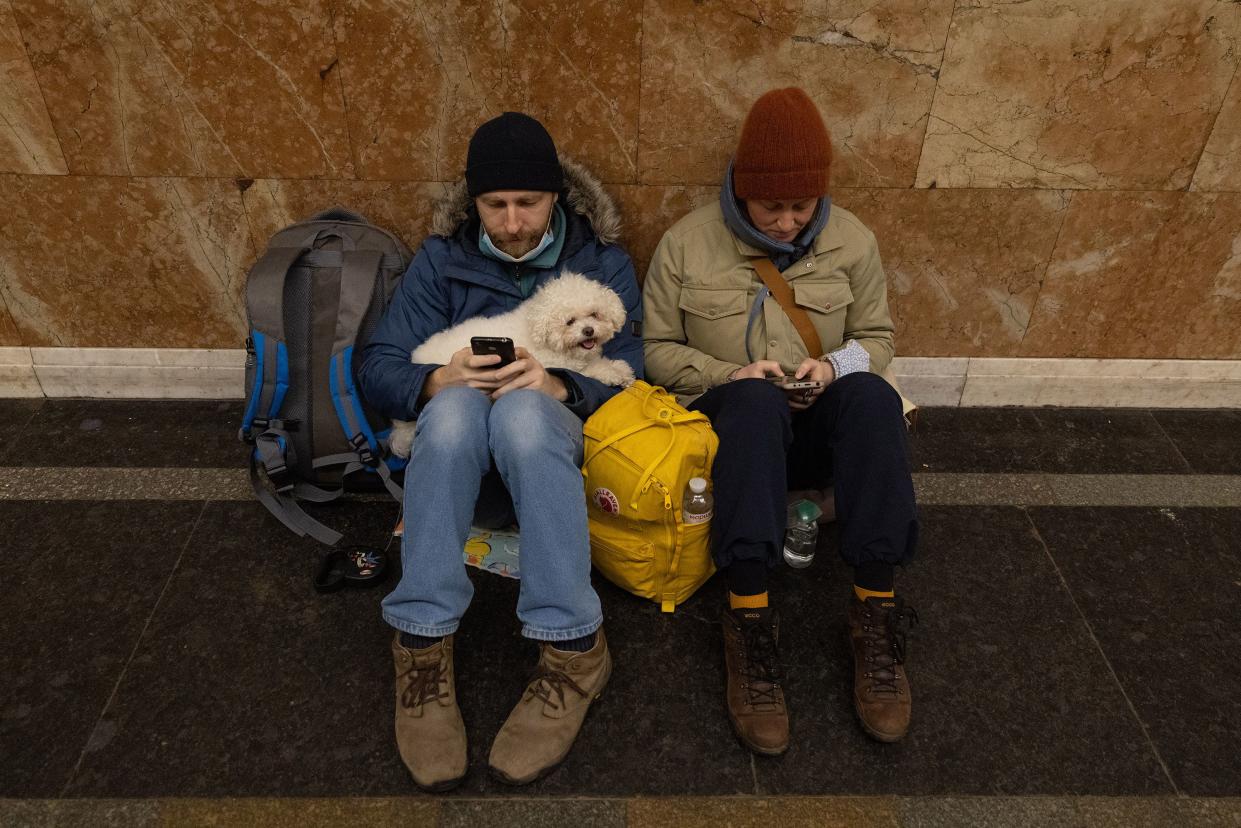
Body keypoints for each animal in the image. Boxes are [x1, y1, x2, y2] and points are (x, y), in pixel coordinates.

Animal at [387, 271, 635, 456]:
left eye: (594, 314)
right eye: (570, 321)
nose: (589, 331)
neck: (538, 327)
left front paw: (621, 368)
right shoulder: (558, 362)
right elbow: (592, 369)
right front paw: (615, 373)